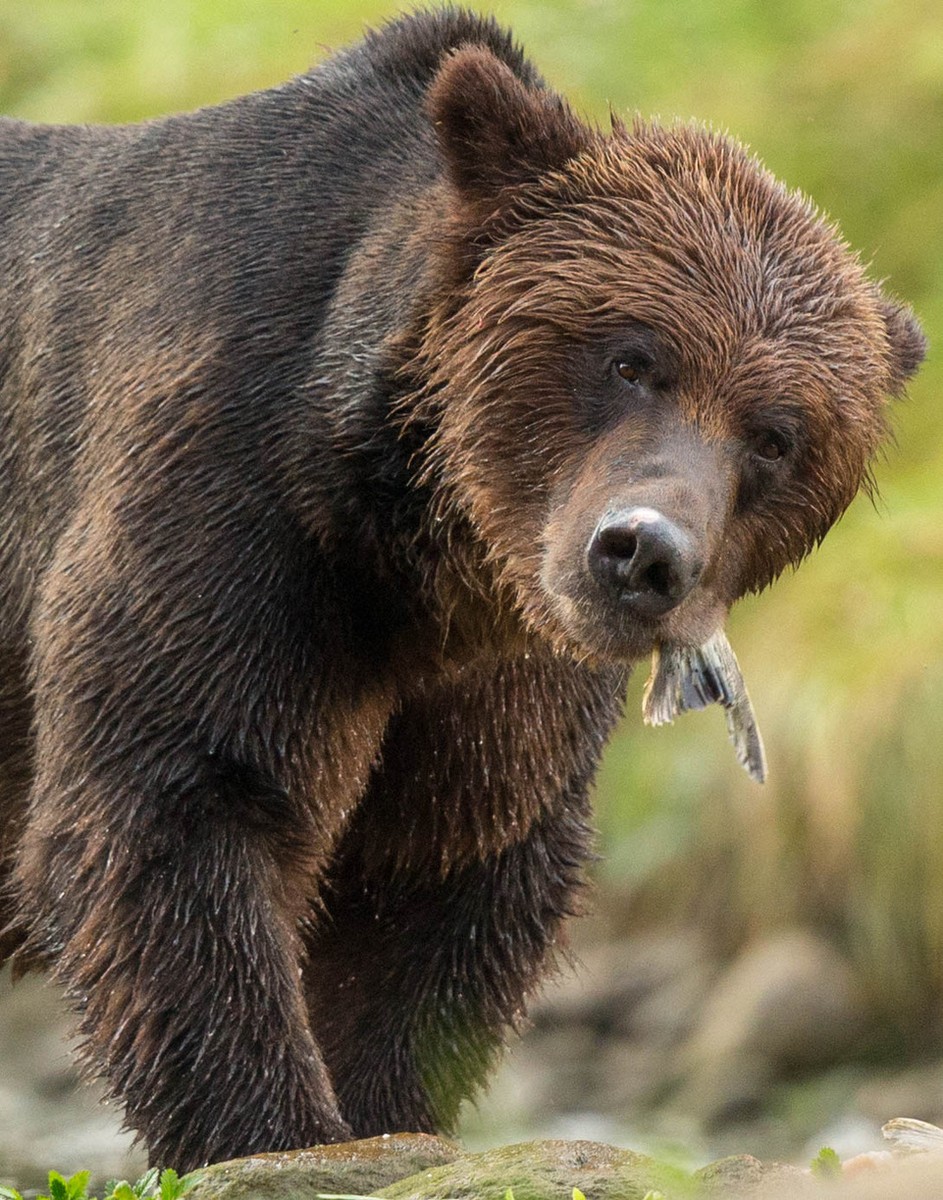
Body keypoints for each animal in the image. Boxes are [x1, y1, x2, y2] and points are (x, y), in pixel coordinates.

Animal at [0, 4, 926, 1176]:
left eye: (776, 435)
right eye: (633, 358)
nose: (643, 554)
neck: (415, 555)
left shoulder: (495, 675)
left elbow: (447, 881)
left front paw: (383, 1114)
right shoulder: (232, 518)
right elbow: (184, 800)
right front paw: (276, 1133)